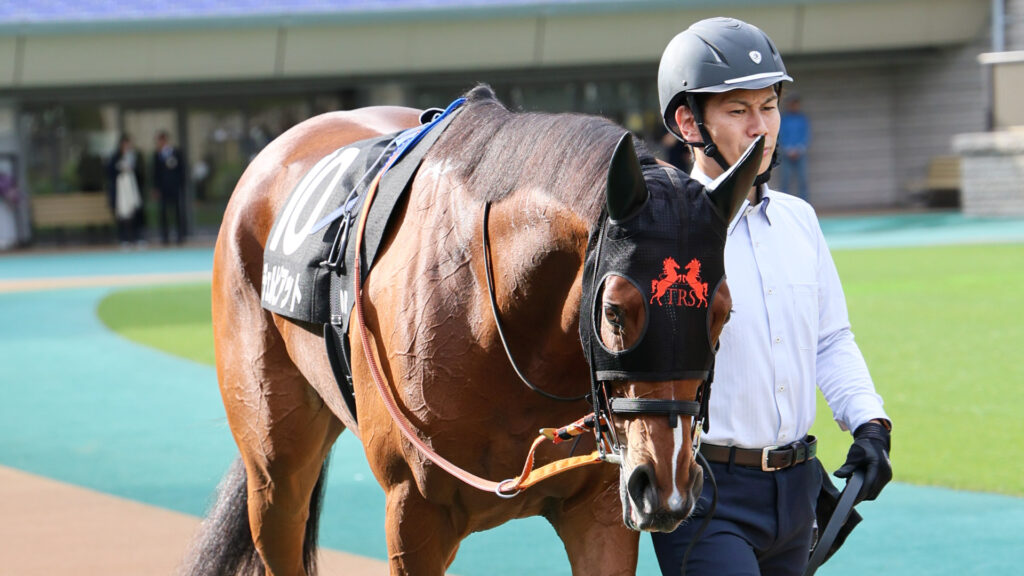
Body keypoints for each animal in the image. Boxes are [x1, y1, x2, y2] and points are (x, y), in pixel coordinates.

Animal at [184, 85, 760, 576]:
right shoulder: (414, 513)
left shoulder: (599, 508)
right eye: (615, 311)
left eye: (723, 314)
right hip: (274, 469)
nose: (668, 485)